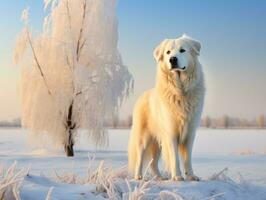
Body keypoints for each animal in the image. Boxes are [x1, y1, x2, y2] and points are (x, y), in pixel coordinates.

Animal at [128, 34, 205, 181]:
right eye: (168, 52)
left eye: (182, 50)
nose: (172, 59)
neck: (180, 91)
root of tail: (142, 95)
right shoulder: (171, 133)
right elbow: (175, 158)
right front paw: (177, 177)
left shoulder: (190, 132)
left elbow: (187, 158)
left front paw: (191, 176)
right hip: (143, 138)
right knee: (140, 157)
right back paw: (138, 176)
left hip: (158, 142)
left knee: (153, 163)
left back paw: (160, 178)